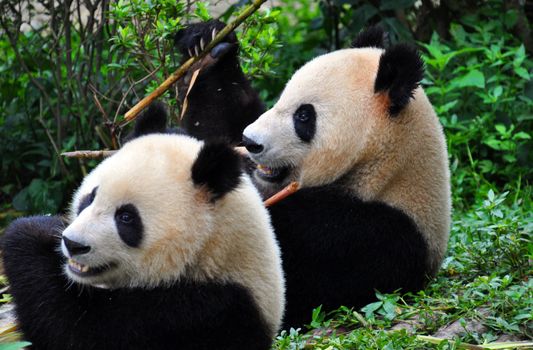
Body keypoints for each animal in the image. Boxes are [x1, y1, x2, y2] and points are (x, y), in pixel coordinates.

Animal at [2, 131, 284, 348]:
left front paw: (29, 231)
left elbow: (76, 329)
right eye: (89, 198)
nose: (73, 244)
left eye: (126, 217)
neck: (212, 250)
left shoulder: (196, 314)